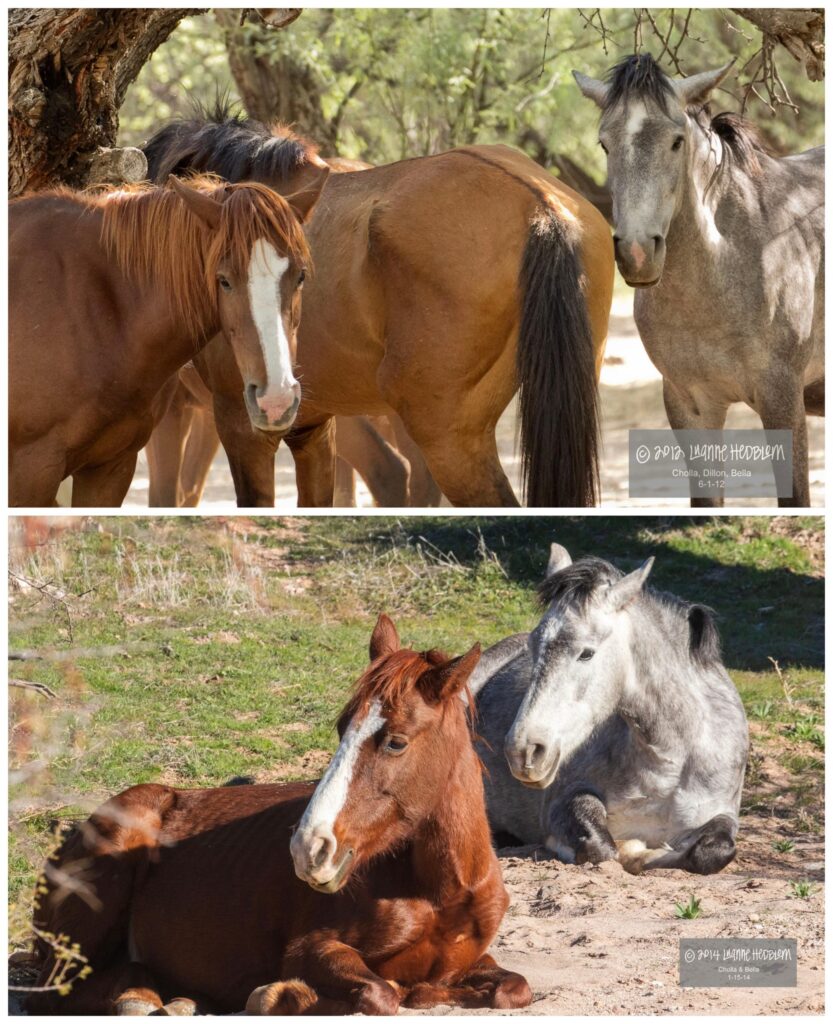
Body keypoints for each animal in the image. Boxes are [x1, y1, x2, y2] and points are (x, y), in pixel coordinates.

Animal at [29, 614, 532, 1015]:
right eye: (341, 728)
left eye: (396, 741)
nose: (308, 849)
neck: (441, 889)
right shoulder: (310, 949)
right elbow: (379, 993)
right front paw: (282, 995)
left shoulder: (472, 962)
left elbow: (512, 987)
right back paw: (144, 997)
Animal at [471, 544, 750, 872]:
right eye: (533, 645)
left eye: (586, 653)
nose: (523, 752)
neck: (672, 763)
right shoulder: (564, 799)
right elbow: (599, 846)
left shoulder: (722, 814)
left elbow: (712, 851)